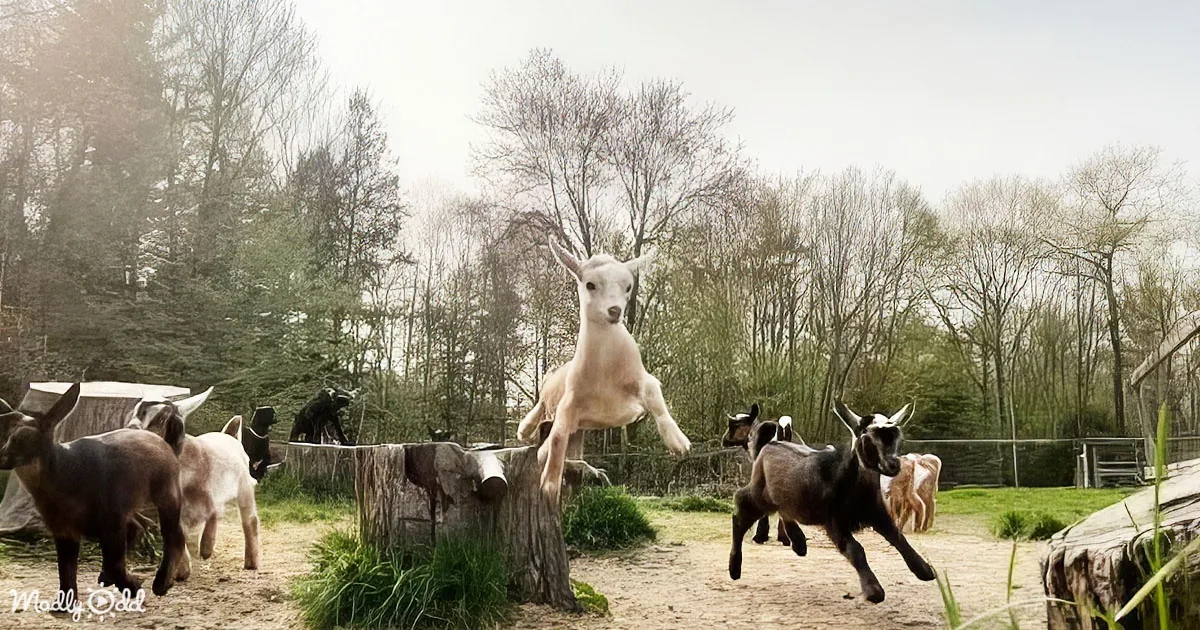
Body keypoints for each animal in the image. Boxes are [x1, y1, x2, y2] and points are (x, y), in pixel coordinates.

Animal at [0, 384, 186, 601]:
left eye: (25, 438)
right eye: (6, 435)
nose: (2, 458)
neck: (62, 477)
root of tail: (163, 442)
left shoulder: (112, 520)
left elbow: (114, 562)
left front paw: (132, 586)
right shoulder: (63, 529)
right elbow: (66, 570)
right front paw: (64, 603)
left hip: (167, 492)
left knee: (173, 534)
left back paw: (162, 583)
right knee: (139, 528)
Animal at [129, 398, 261, 573]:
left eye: (160, 418)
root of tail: (228, 435)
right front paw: (182, 571)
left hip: (244, 485)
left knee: (250, 520)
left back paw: (249, 562)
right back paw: (206, 551)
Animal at [521, 238, 691, 502]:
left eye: (628, 287)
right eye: (590, 284)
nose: (614, 311)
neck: (605, 371)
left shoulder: (644, 380)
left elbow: (656, 398)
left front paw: (678, 442)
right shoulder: (568, 405)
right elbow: (557, 439)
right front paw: (549, 484)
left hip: (578, 427)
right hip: (552, 403)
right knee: (540, 424)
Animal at [729, 400, 935, 603]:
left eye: (898, 438)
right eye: (866, 438)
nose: (892, 465)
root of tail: (772, 443)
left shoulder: (877, 513)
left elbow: (898, 537)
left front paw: (924, 570)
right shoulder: (833, 521)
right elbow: (855, 549)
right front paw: (873, 590)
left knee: (784, 510)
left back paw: (798, 543)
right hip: (759, 493)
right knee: (740, 509)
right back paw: (734, 568)